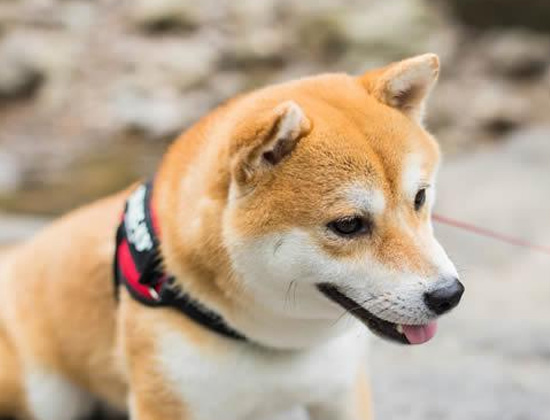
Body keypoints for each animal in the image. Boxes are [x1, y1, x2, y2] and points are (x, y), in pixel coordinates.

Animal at [0, 55, 466, 420]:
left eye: (420, 197)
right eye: (348, 225)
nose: (449, 294)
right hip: (47, 394)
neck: (271, 341)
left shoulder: (341, 390)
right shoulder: (164, 401)